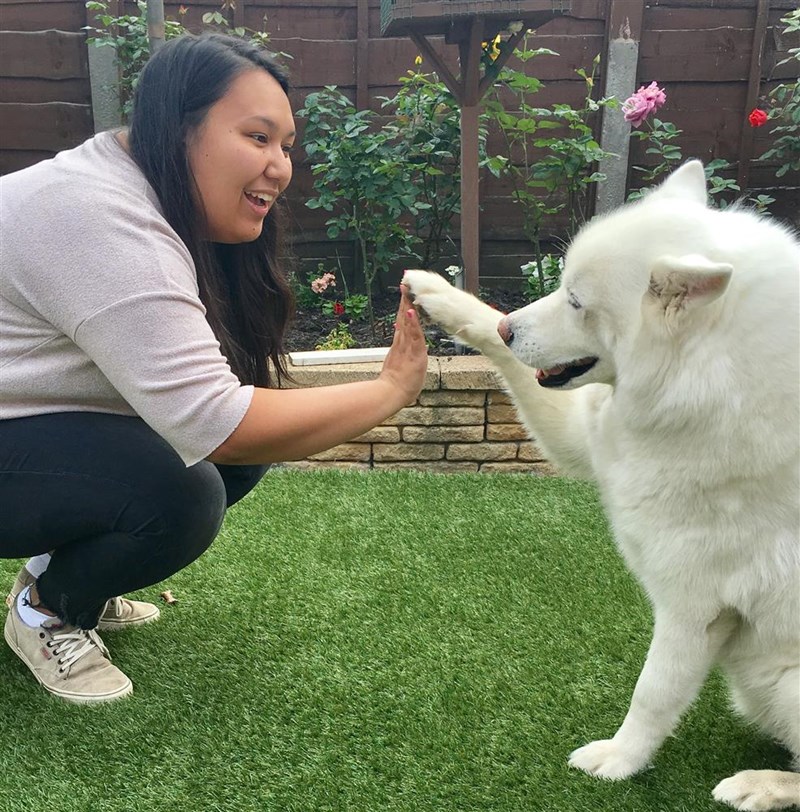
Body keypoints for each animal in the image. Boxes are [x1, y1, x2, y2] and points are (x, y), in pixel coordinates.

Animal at [403, 160, 800, 811]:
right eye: (561, 285)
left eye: (576, 302)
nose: (511, 328)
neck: (709, 382)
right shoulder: (582, 436)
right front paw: (437, 293)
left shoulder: (692, 606)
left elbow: (653, 693)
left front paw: (620, 761)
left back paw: (763, 786)